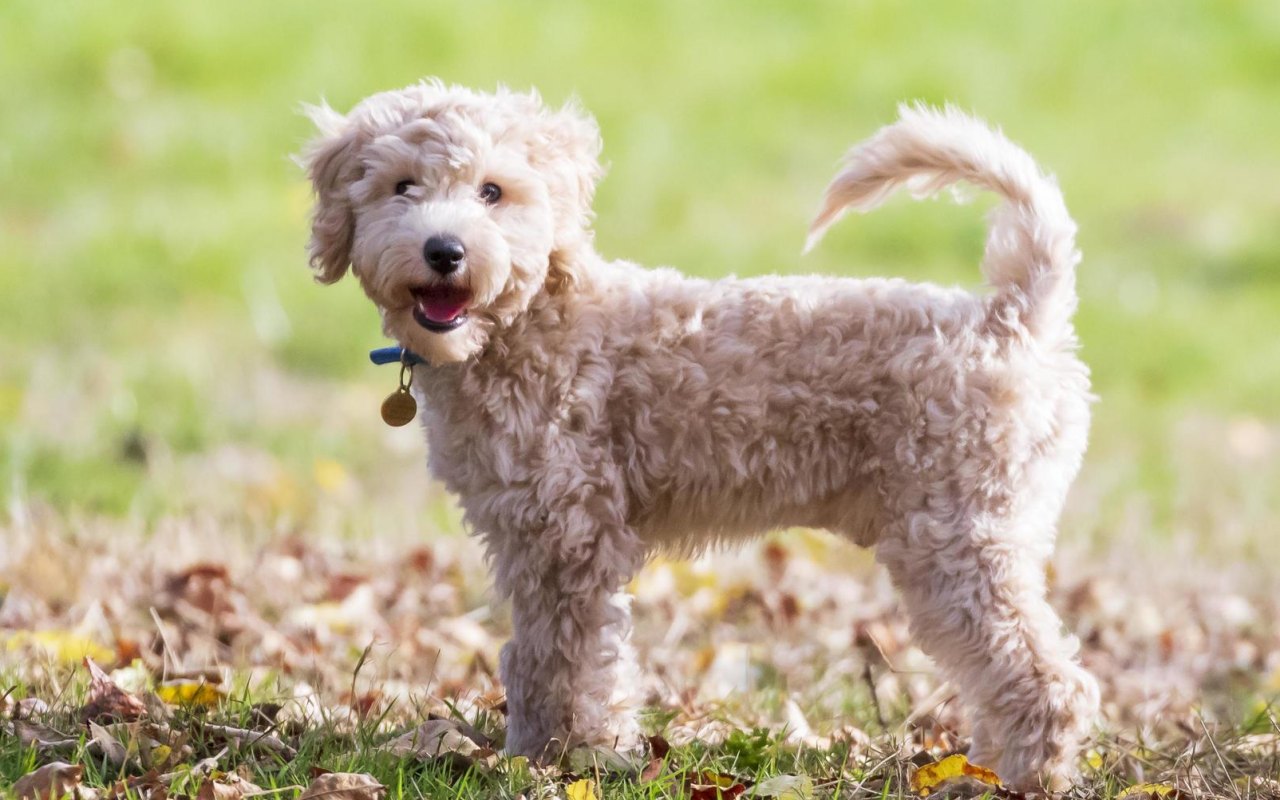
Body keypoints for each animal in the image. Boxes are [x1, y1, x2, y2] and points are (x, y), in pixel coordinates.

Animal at [299, 78, 1100, 788]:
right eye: (402, 186)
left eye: (492, 192)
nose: (444, 251)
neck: (529, 322)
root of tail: (1013, 316)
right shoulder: (526, 534)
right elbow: (533, 656)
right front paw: (532, 751)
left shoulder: (571, 534)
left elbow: (569, 658)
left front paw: (570, 758)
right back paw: (985, 766)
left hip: (957, 537)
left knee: (1047, 678)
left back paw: (1017, 779)